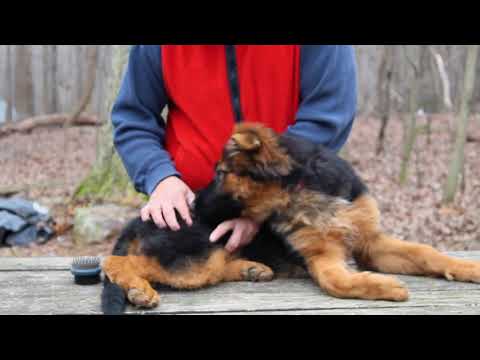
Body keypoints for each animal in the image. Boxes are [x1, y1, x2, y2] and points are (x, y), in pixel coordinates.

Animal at [101, 122, 480, 314]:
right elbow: (338, 282)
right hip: (198, 254)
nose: (192, 206)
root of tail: (138, 221)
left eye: (222, 173)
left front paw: (468, 268)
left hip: (212, 254)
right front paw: (384, 286)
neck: (303, 189)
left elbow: (426, 253)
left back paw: (252, 269)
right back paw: (139, 290)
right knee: (115, 262)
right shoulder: (321, 257)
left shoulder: (371, 242)